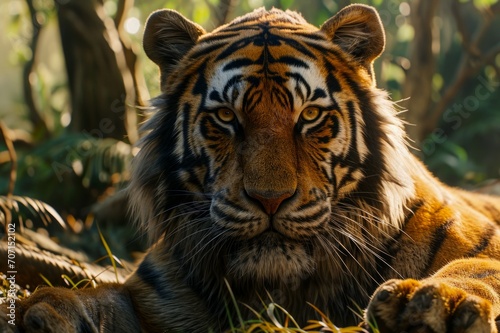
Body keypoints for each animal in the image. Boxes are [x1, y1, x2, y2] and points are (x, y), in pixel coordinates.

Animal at [2, 3, 500, 332]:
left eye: (309, 116)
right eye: (226, 117)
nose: (270, 199)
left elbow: (475, 266)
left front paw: (434, 304)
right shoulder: (155, 296)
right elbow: (101, 300)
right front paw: (44, 310)